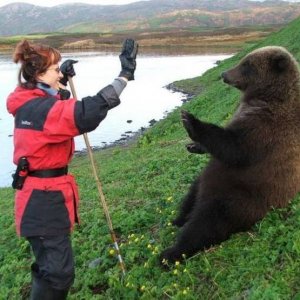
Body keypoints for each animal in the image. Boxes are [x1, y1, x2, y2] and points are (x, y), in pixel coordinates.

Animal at [161, 45, 300, 264]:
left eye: (246, 64)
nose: (223, 73)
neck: (266, 95)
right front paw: (194, 145)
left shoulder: (266, 128)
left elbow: (235, 148)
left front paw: (190, 121)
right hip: (210, 185)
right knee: (192, 194)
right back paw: (178, 219)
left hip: (243, 196)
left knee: (209, 221)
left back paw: (170, 253)